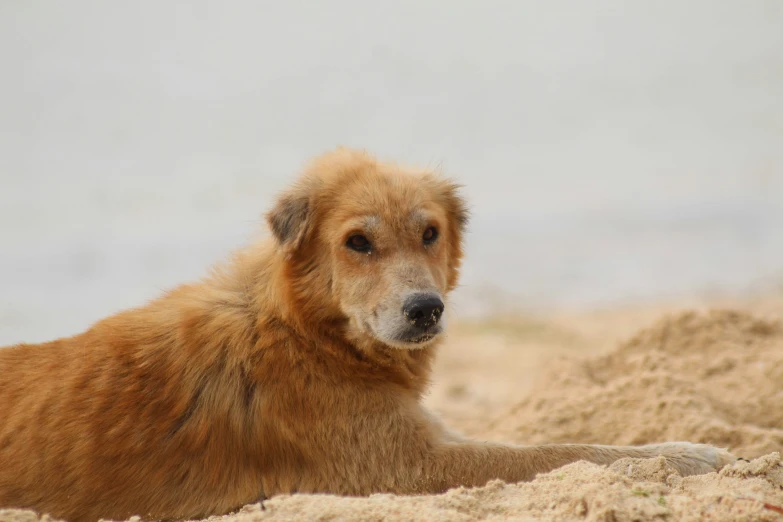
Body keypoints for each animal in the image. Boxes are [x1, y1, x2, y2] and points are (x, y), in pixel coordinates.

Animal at [0, 148, 736, 520]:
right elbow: (560, 452)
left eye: (430, 233)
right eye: (358, 242)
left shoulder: (427, 438)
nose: (425, 310)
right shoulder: (411, 465)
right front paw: (688, 454)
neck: (305, 333)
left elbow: (560, 446)